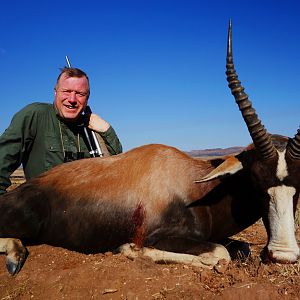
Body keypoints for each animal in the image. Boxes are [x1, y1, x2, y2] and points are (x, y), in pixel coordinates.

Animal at [0, 20, 298, 274]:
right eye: (256, 179)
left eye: (299, 185)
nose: (283, 256)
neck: (194, 184)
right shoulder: (162, 237)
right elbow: (219, 253)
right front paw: (130, 250)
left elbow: (239, 247)